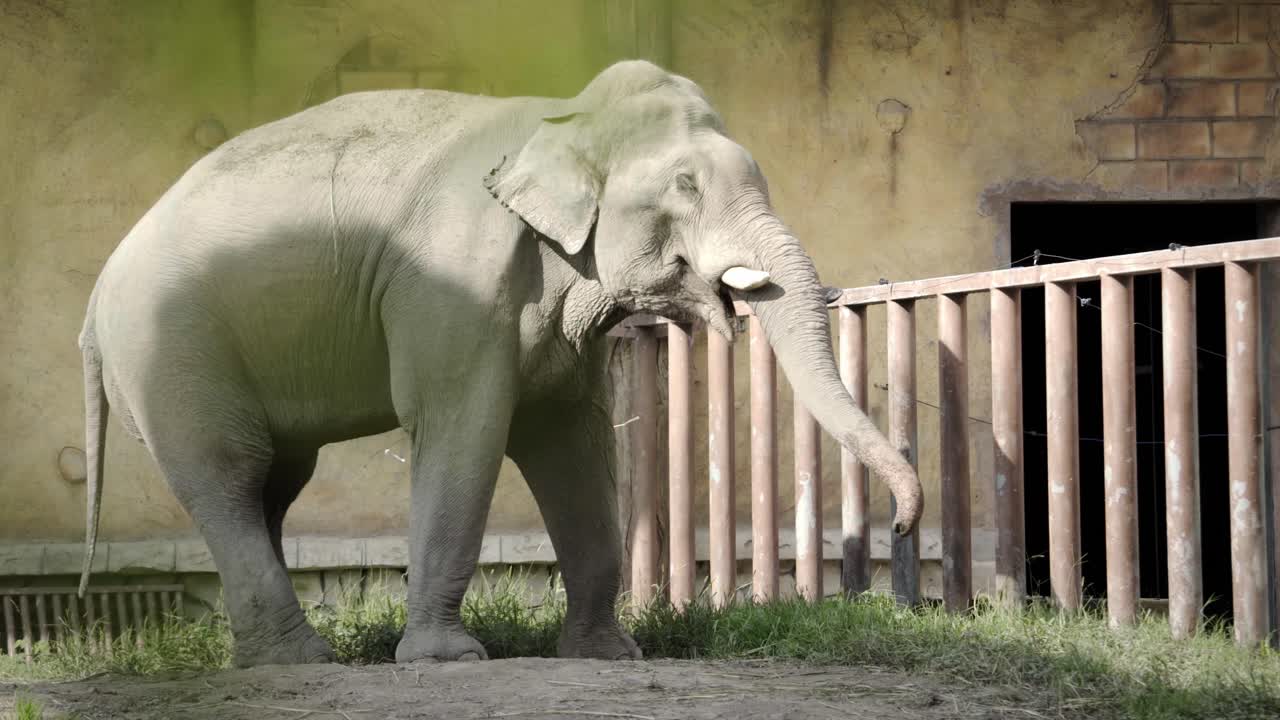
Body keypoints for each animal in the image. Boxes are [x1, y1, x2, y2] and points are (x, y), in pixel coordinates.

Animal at [76, 60, 923, 668]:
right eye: (684, 186)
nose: (903, 523)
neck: (562, 115)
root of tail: (92, 305)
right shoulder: (452, 281)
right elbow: (463, 424)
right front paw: (447, 659)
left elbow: (572, 440)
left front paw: (609, 657)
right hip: (173, 350)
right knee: (228, 472)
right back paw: (299, 661)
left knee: (273, 486)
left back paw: (260, 661)